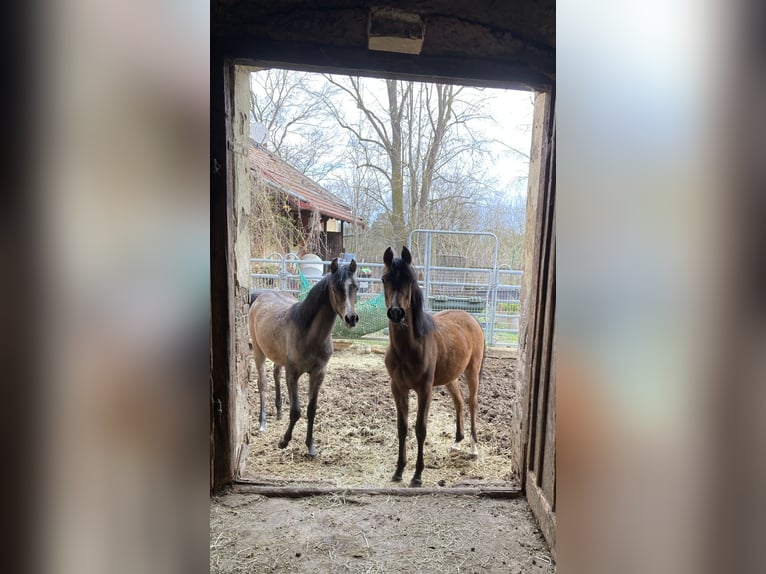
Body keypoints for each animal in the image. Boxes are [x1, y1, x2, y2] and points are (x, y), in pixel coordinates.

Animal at [248, 258, 359, 457]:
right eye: (334, 288)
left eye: (356, 286)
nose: (351, 318)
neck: (308, 334)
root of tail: (260, 296)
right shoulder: (293, 374)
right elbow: (296, 411)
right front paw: (283, 441)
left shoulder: (318, 374)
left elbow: (311, 410)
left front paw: (311, 447)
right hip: (258, 353)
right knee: (263, 384)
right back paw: (262, 423)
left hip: (277, 357)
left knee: (276, 375)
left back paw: (278, 413)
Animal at [382, 246, 484, 486]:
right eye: (384, 279)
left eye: (410, 280)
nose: (396, 313)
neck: (409, 348)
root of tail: (471, 319)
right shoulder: (397, 388)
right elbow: (402, 428)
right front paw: (399, 470)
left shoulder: (424, 389)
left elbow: (420, 429)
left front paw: (417, 475)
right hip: (451, 377)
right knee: (459, 402)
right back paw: (457, 442)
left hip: (472, 371)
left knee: (472, 402)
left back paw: (473, 447)